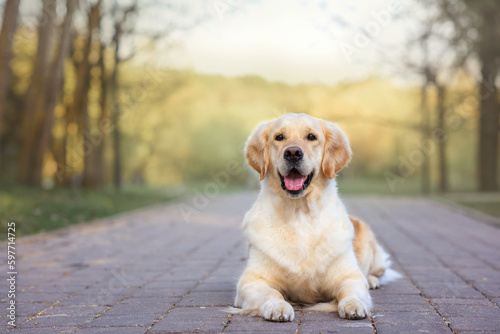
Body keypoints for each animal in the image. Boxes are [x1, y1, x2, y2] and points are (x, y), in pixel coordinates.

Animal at [230, 114, 398, 320]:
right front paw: (278, 306)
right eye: (279, 137)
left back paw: (373, 280)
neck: (300, 213)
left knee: (377, 271)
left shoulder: (350, 276)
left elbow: (350, 290)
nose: (293, 153)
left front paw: (354, 305)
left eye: (311, 137)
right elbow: (271, 292)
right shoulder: (251, 281)